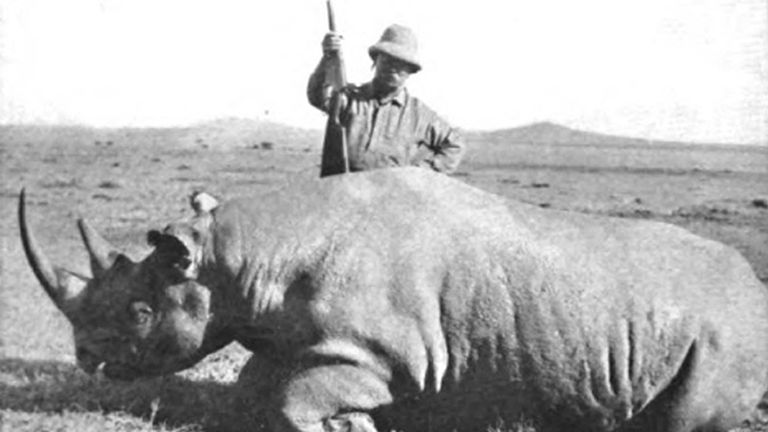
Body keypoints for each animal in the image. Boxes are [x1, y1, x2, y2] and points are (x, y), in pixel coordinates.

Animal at [16, 168, 768, 432]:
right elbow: (258, 390)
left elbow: (291, 400)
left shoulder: (388, 356)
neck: (236, 259)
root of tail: (755, 289)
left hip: (727, 333)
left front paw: (350, 426)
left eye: (139, 313)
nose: (86, 359)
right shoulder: (299, 338)